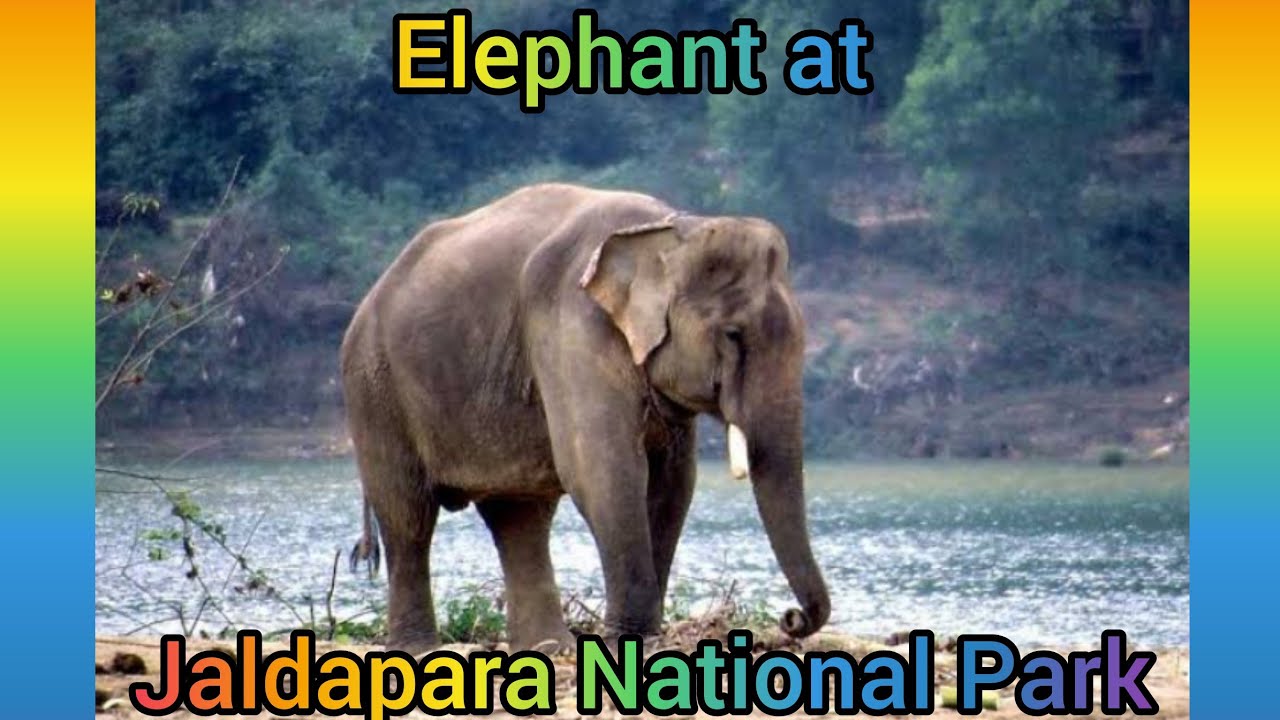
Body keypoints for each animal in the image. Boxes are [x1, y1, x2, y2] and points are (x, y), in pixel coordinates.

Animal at [341, 183, 830, 653]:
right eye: (732, 334)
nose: (792, 618)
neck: (673, 229)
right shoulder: (573, 324)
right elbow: (604, 469)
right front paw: (631, 642)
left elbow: (674, 482)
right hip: (373, 388)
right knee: (408, 515)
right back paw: (419, 647)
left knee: (518, 516)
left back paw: (549, 648)